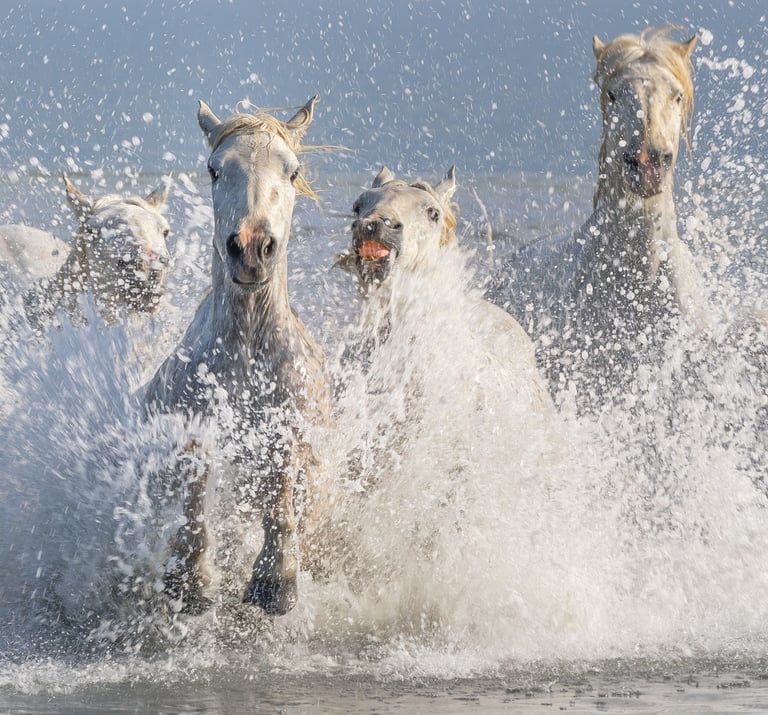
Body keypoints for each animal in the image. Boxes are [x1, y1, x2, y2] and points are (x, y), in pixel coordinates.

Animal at [142, 95, 332, 616]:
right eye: (214, 169)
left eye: (292, 171)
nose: (250, 248)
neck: (247, 354)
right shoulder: (192, 428)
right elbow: (193, 499)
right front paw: (192, 581)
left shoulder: (287, 429)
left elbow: (280, 495)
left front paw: (276, 581)